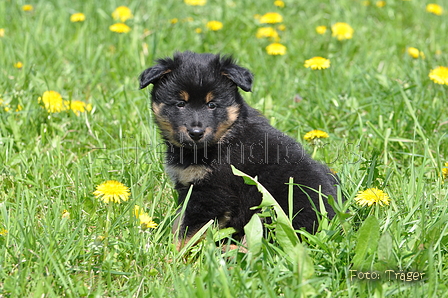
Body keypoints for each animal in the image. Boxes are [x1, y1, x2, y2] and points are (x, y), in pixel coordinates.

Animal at [138, 51, 338, 249]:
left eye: (212, 105)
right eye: (180, 104)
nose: (196, 133)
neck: (225, 137)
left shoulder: (214, 194)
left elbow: (189, 231)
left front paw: (175, 253)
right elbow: (180, 222)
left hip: (274, 211)